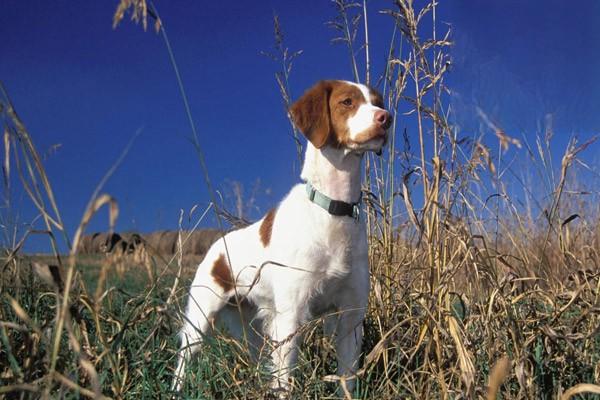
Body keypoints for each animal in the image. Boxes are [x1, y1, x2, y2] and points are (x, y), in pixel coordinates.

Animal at [171, 79, 392, 396]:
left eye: (377, 102)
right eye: (347, 102)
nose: (386, 118)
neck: (332, 210)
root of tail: (215, 247)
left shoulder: (351, 315)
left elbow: (347, 378)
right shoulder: (290, 316)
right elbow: (285, 380)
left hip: (252, 325)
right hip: (201, 317)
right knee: (184, 358)